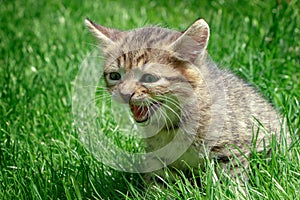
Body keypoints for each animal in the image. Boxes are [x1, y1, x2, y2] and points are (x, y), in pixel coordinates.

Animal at [85, 18, 288, 183]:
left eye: (149, 78)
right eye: (115, 76)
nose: (124, 94)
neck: (171, 126)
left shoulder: (232, 149)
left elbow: (232, 181)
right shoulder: (157, 157)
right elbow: (158, 182)